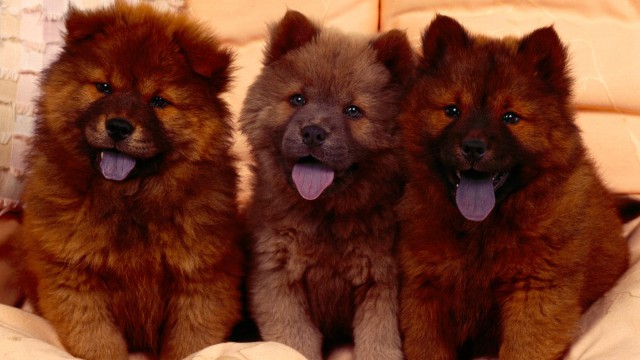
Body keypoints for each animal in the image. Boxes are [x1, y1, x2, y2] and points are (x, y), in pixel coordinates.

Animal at [18, 3, 242, 360]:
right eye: (104, 87)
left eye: (159, 101)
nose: (119, 127)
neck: (129, 201)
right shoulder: (74, 275)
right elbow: (97, 340)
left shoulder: (202, 279)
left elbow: (191, 342)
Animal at [240, 10, 416, 360]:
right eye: (297, 99)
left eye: (353, 111)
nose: (313, 132)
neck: (326, 216)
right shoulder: (277, 278)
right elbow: (293, 341)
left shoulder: (381, 282)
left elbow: (378, 341)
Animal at [400, 14, 632, 360]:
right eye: (452, 111)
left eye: (510, 117)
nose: (473, 147)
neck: (480, 231)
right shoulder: (425, 290)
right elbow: (427, 347)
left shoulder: (535, 291)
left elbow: (524, 347)